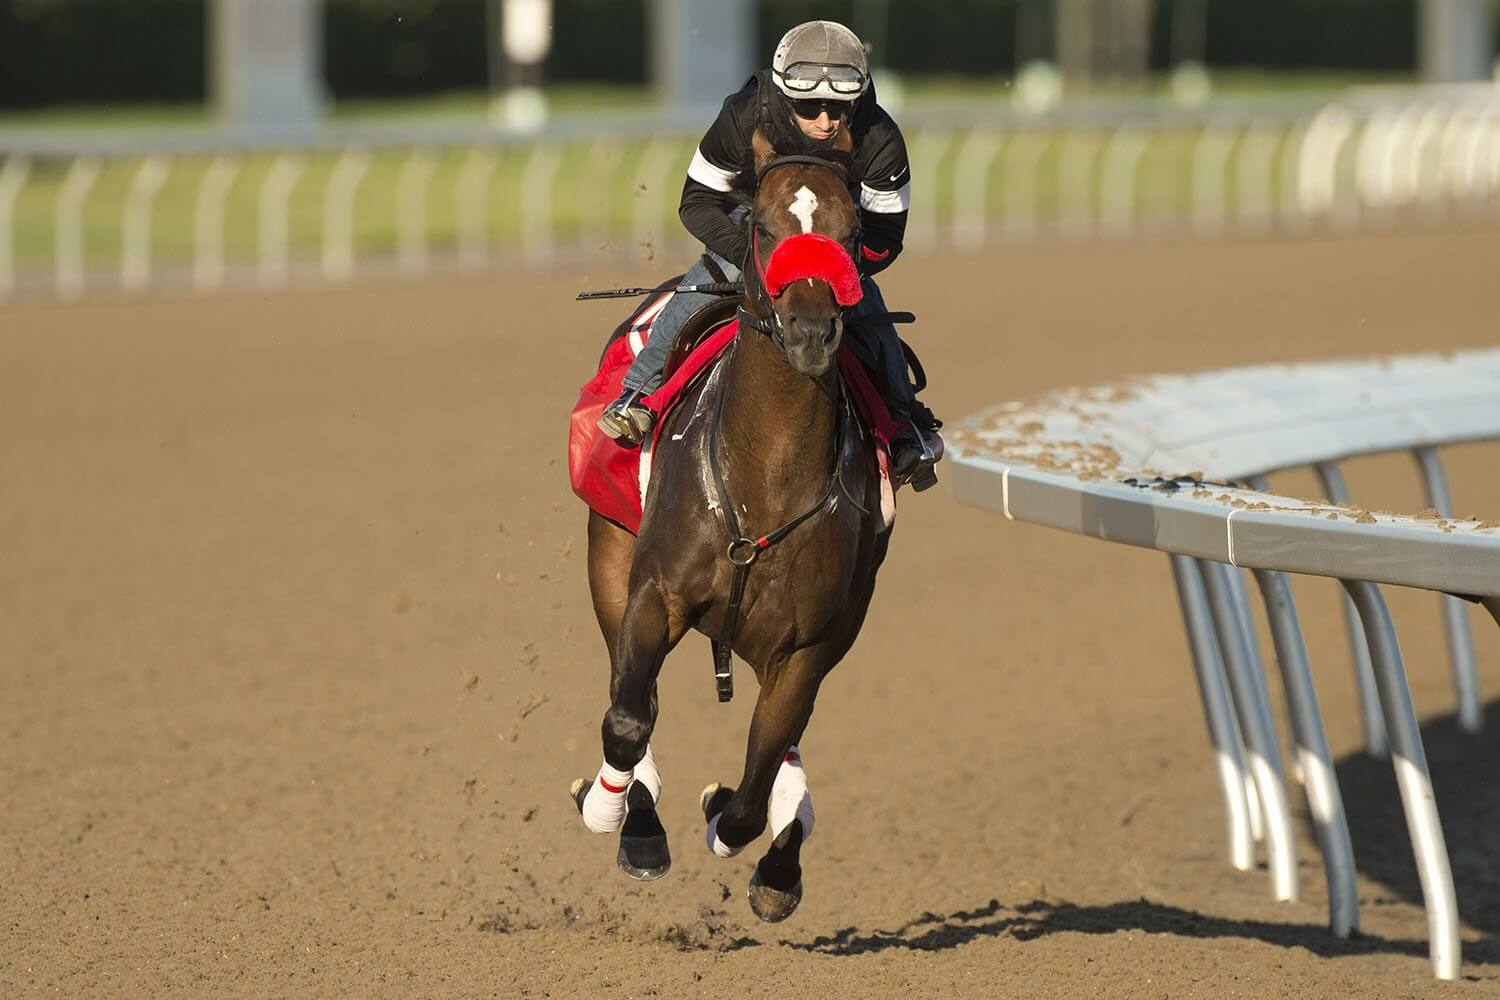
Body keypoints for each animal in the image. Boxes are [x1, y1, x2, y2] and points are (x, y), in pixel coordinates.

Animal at [567, 127, 882, 923]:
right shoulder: (655, 594)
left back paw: (783, 846)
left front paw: (753, 840)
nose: (811, 331)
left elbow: (753, 782)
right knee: (630, 699)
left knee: (780, 750)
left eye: (851, 233)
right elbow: (627, 720)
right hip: (608, 556)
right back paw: (634, 818)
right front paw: (615, 813)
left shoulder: (809, 645)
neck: (764, 476)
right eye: (762, 227)